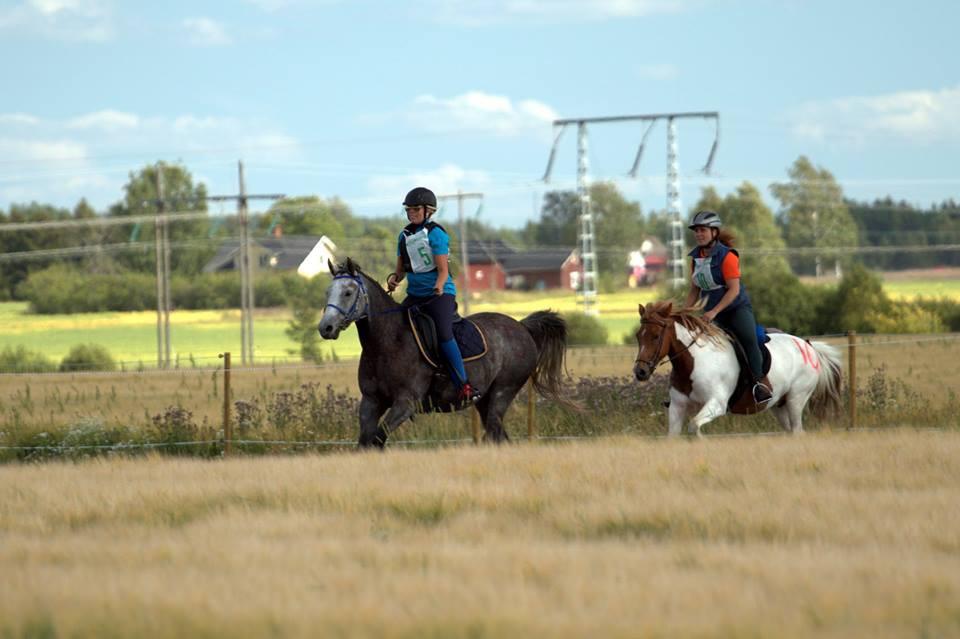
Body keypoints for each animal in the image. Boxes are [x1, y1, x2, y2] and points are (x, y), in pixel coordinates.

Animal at [318, 258, 568, 448]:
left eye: (348, 292)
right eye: (328, 291)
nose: (325, 328)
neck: (386, 343)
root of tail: (522, 327)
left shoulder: (405, 403)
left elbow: (378, 439)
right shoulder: (371, 402)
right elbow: (365, 443)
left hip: (502, 392)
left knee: (495, 431)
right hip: (484, 400)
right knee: (499, 436)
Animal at [632, 302, 844, 438]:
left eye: (656, 336)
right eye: (638, 336)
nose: (640, 372)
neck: (693, 362)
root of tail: (809, 346)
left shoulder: (717, 403)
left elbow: (694, 427)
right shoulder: (677, 406)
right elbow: (674, 435)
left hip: (796, 399)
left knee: (798, 430)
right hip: (779, 405)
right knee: (792, 431)